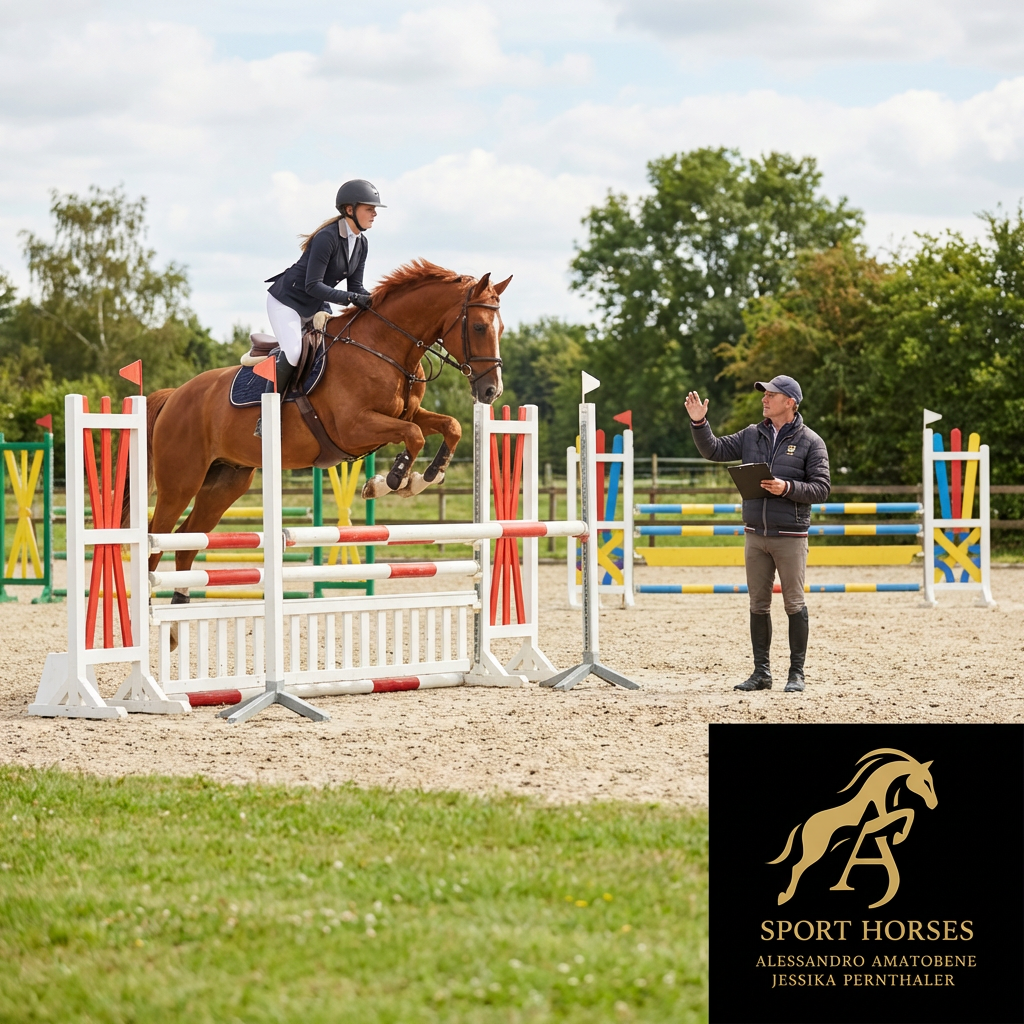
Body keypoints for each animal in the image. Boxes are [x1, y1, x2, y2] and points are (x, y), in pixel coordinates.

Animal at [144, 261, 509, 585]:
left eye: (502, 329)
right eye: (479, 327)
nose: (491, 391)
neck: (384, 346)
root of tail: (174, 396)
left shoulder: (405, 413)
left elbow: (450, 426)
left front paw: (424, 477)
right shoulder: (354, 428)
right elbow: (415, 435)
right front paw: (391, 481)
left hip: (225, 483)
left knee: (186, 542)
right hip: (181, 483)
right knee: (155, 541)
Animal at [768, 748, 937, 907]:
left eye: (930, 780)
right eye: (925, 781)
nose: (934, 804)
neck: (875, 790)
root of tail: (804, 824)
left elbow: (908, 811)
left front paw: (897, 836)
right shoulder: (878, 819)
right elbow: (909, 811)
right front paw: (898, 837)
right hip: (815, 851)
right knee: (797, 867)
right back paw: (784, 897)